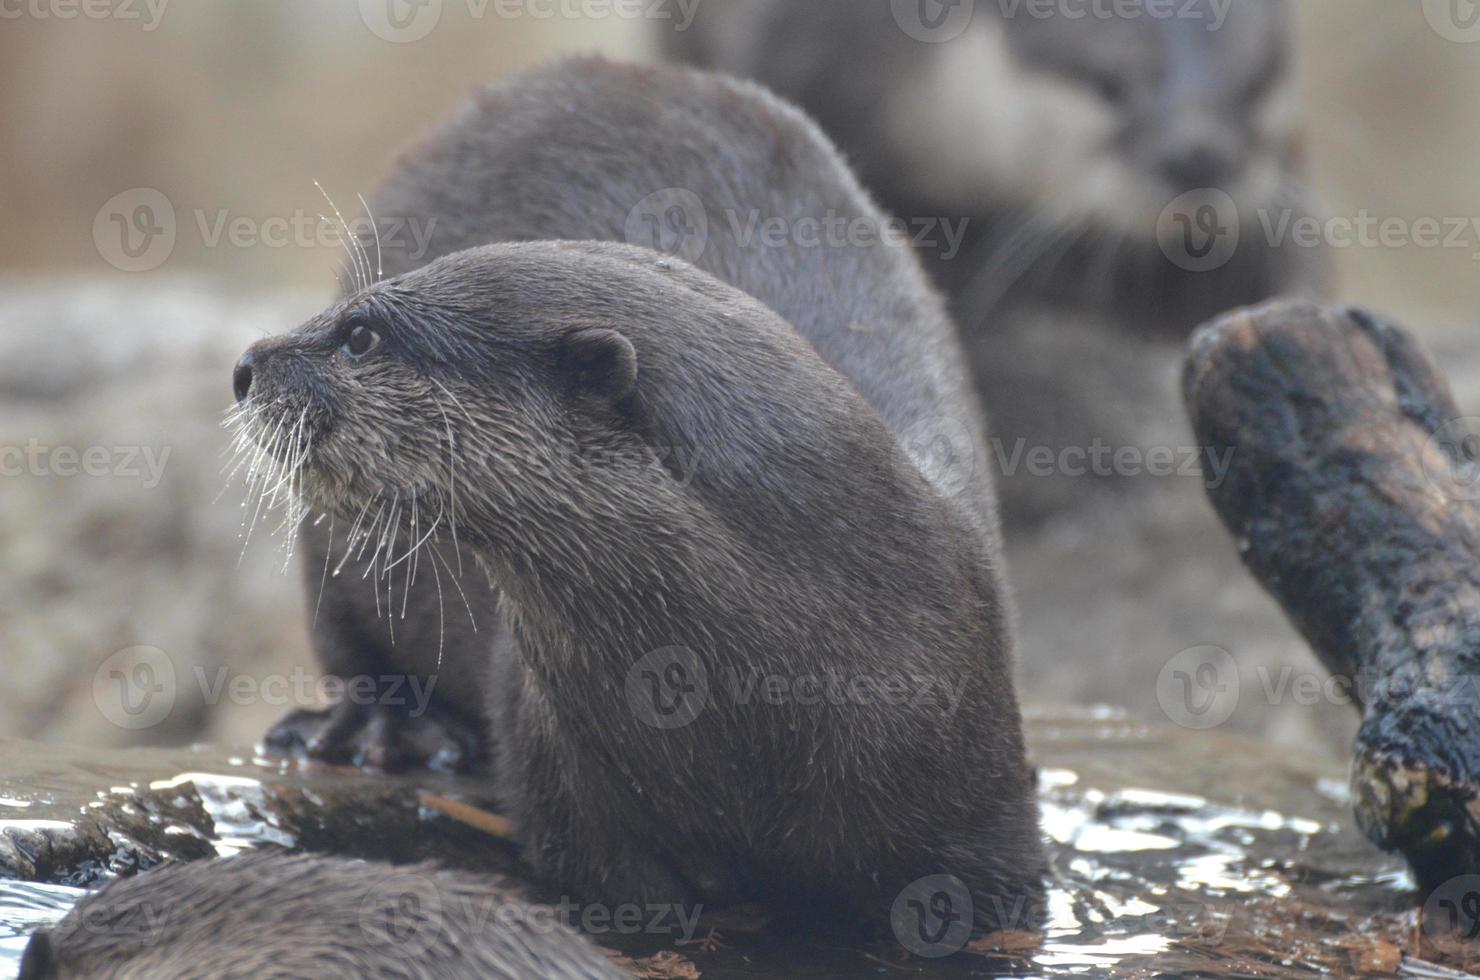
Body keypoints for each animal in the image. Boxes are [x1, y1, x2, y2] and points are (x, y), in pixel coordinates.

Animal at [236, 57, 1047, 941]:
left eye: (360, 336)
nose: (246, 364)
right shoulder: (567, 789)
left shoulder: (982, 798)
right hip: (337, 557)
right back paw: (383, 724)